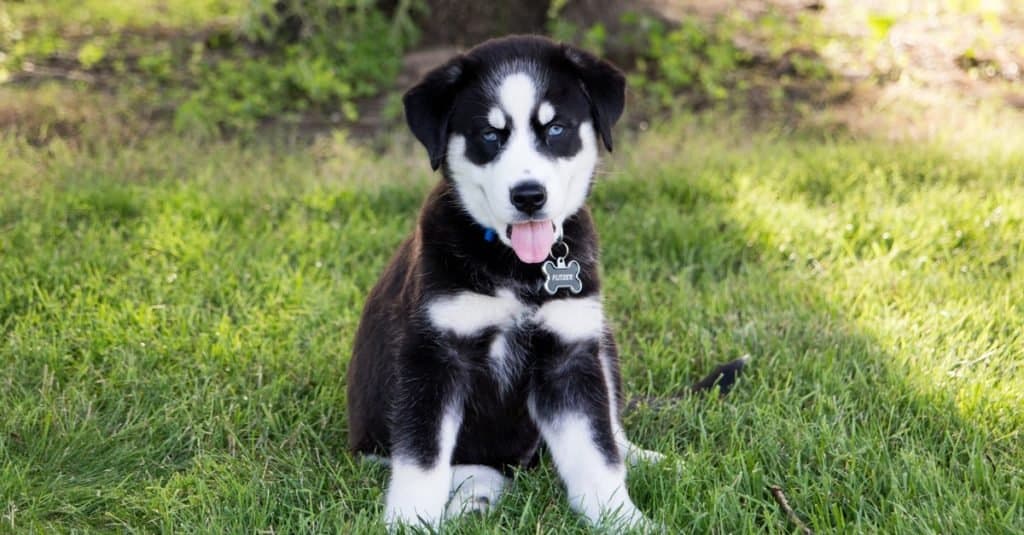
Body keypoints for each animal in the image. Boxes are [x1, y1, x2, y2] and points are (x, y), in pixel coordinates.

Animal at [348, 34, 659, 528]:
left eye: (556, 129)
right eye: (489, 135)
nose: (529, 196)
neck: (515, 268)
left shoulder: (569, 352)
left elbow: (597, 455)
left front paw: (623, 520)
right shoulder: (433, 358)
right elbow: (422, 460)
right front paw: (410, 522)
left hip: (602, 339)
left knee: (612, 429)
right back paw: (476, 494)